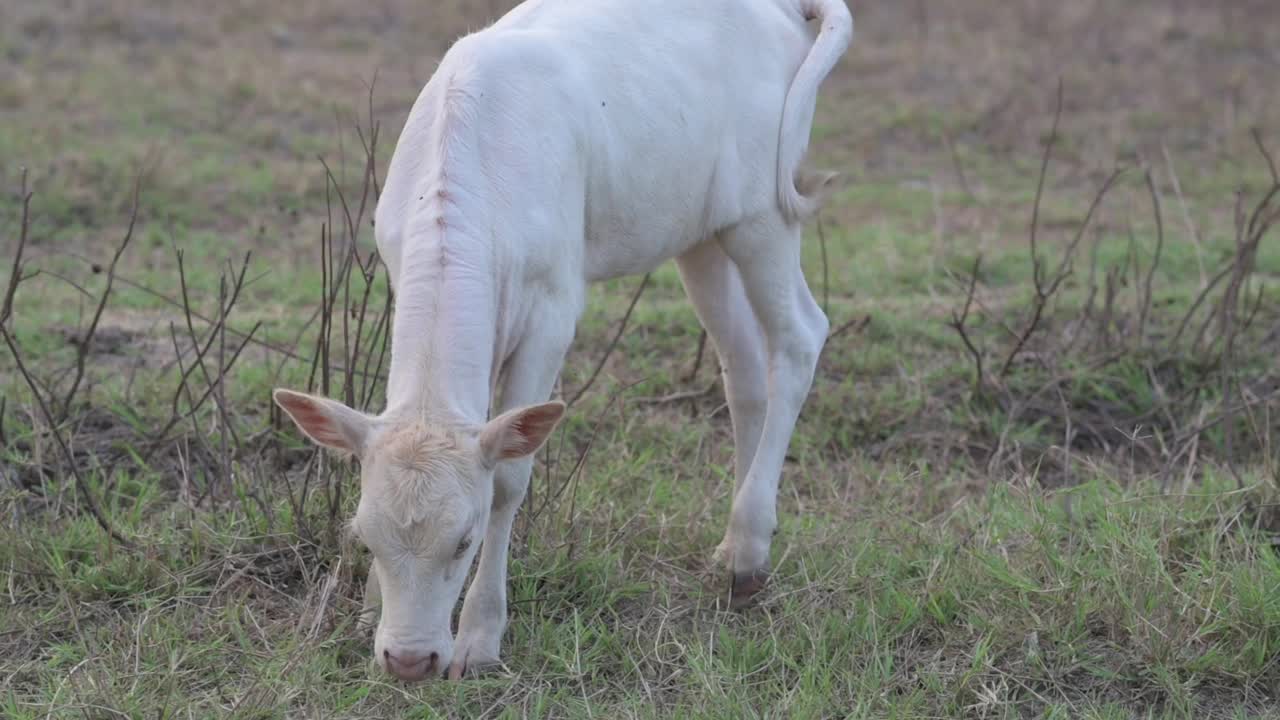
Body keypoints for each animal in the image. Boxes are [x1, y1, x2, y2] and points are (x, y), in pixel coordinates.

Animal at [272, 0, 849, 681]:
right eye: (365, 537)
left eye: (464, 540)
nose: (409, 660)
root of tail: (783, 10)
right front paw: (367, 614)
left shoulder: (553, 309)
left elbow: (509, 479)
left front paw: (479, 639)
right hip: (700, 233)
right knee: (743, 368)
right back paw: (735, 551)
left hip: (763, 215)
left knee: (799, 337)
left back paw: (750, 548)